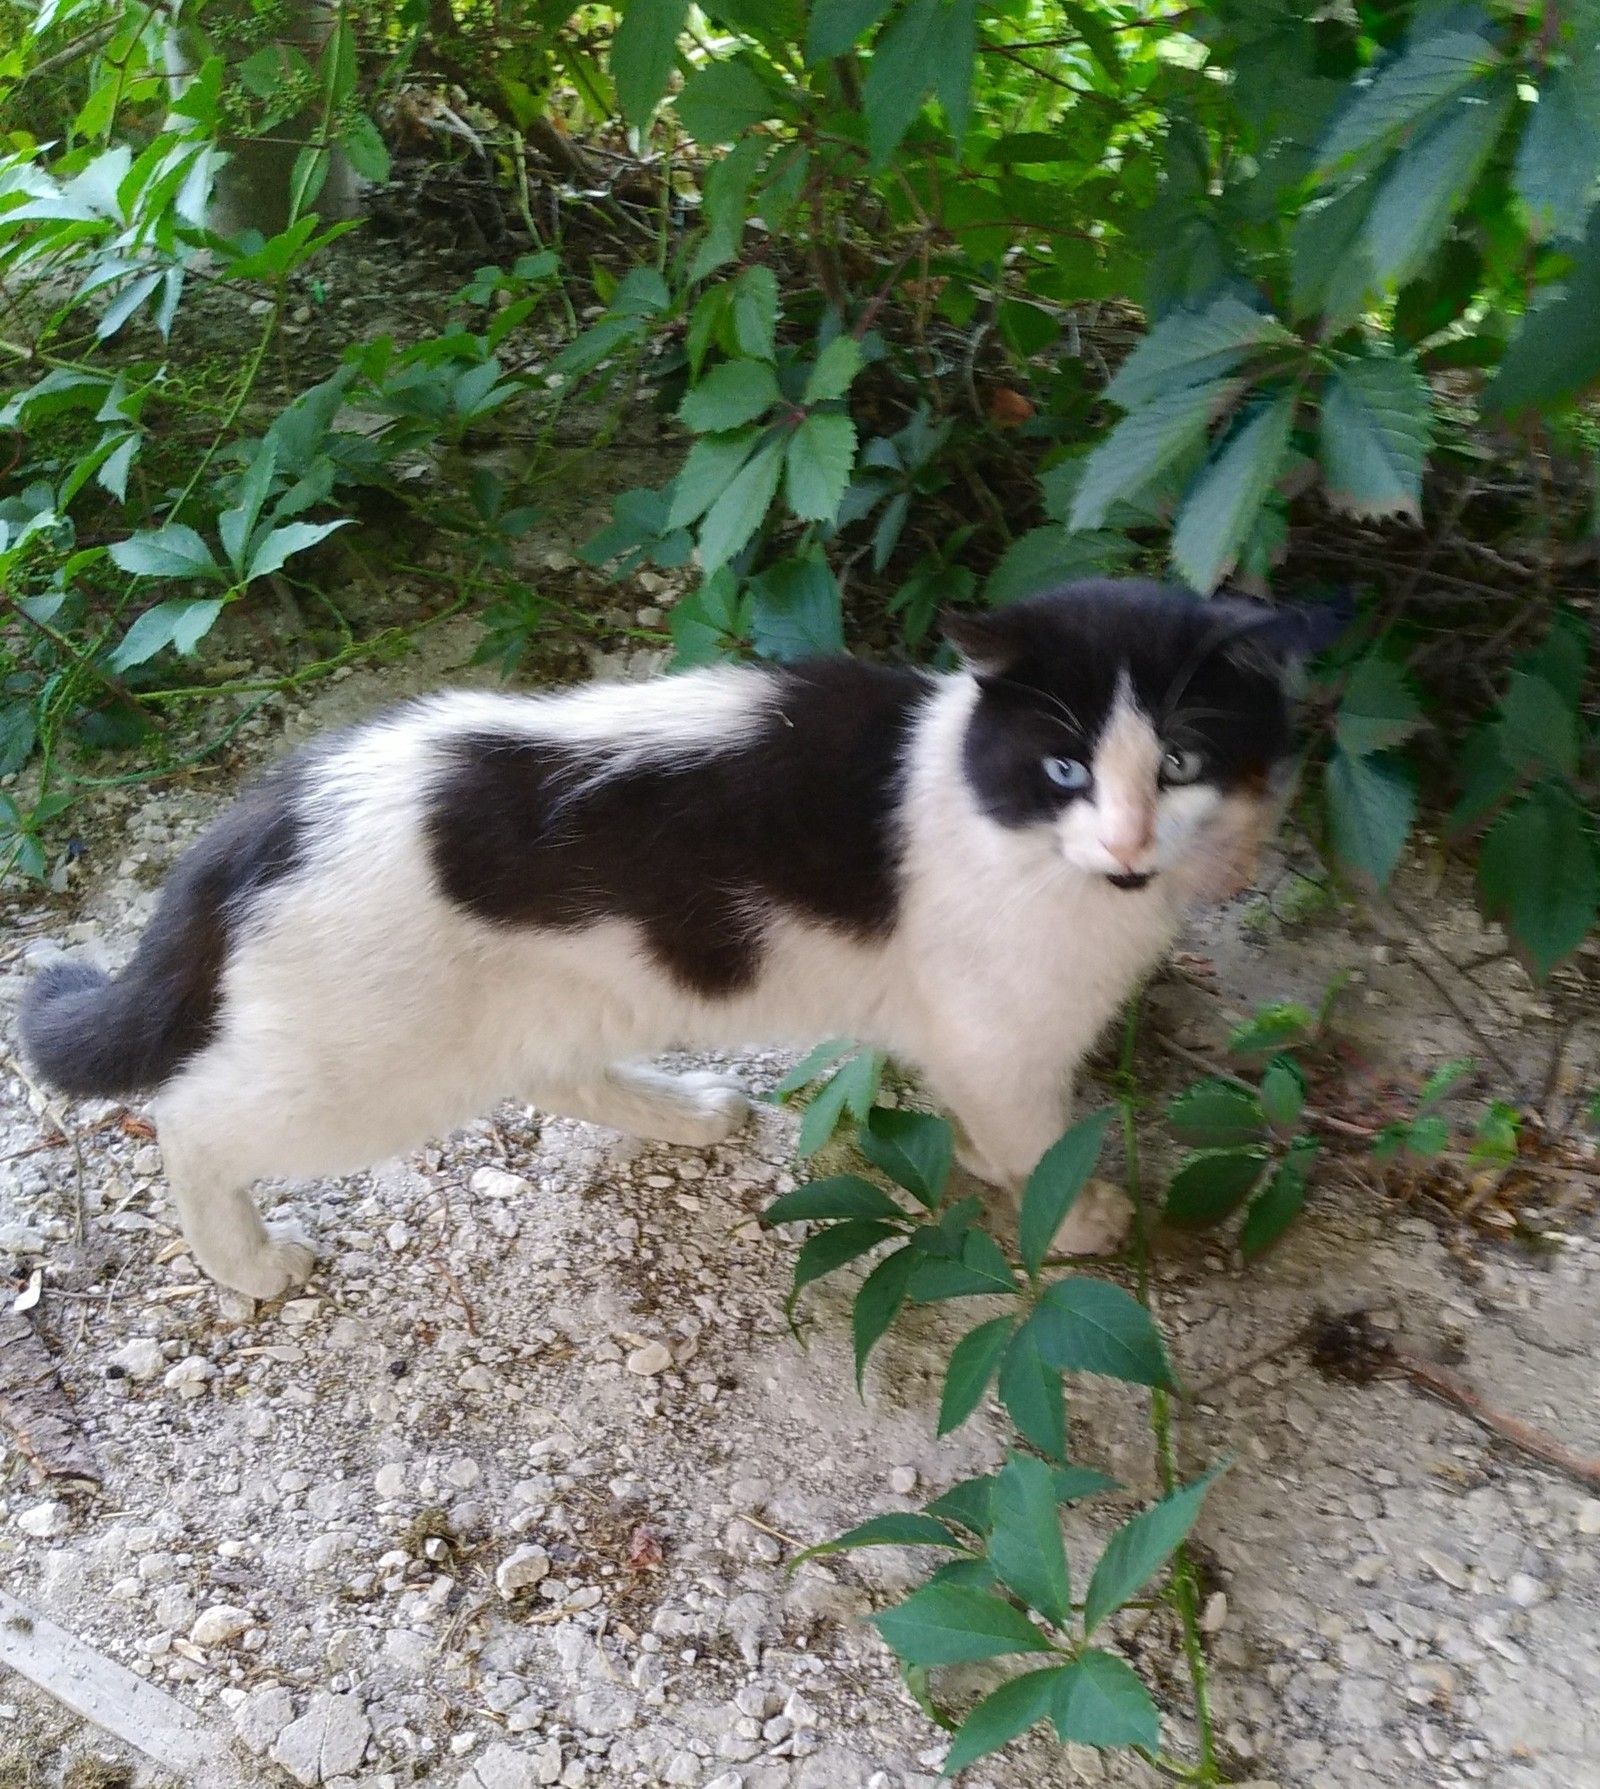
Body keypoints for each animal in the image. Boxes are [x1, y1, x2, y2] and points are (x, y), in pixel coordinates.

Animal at [18, 583, 1331, 1302]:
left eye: (1181, 763)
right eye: (1063, 769)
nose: (1128, 845)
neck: (978, 796)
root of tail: (274, 805)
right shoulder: (1001, 1030)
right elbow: (1031, 1133)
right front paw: (1079, 1211)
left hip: (555, 995)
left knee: (551, 1069)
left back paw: (688, 1109)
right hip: (370, 1063)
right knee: (196, 1118)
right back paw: (242, 1262)